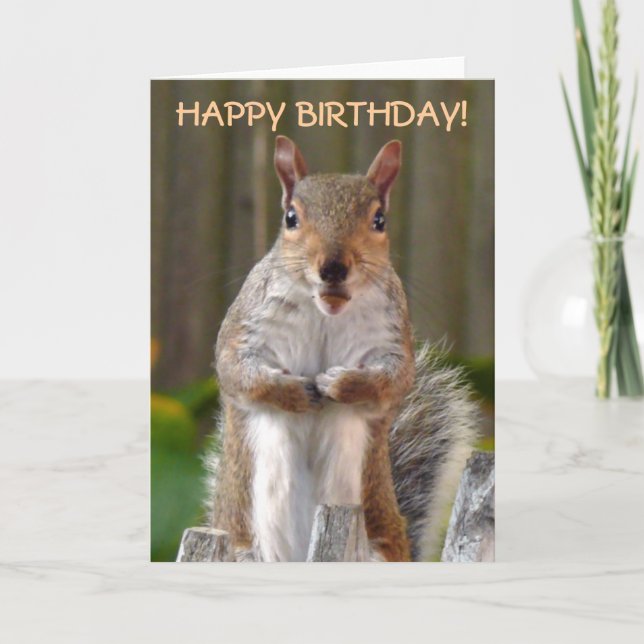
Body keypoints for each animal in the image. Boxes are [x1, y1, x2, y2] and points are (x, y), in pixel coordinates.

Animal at [206, 135, 477, 562]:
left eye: (379, 220)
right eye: (291, 218)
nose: (333, 267)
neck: (326, 314)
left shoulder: (391, 339)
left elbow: (394, 382)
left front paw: (341, 385)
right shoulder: (245, 328)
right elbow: (237, 371)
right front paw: (293, 392)